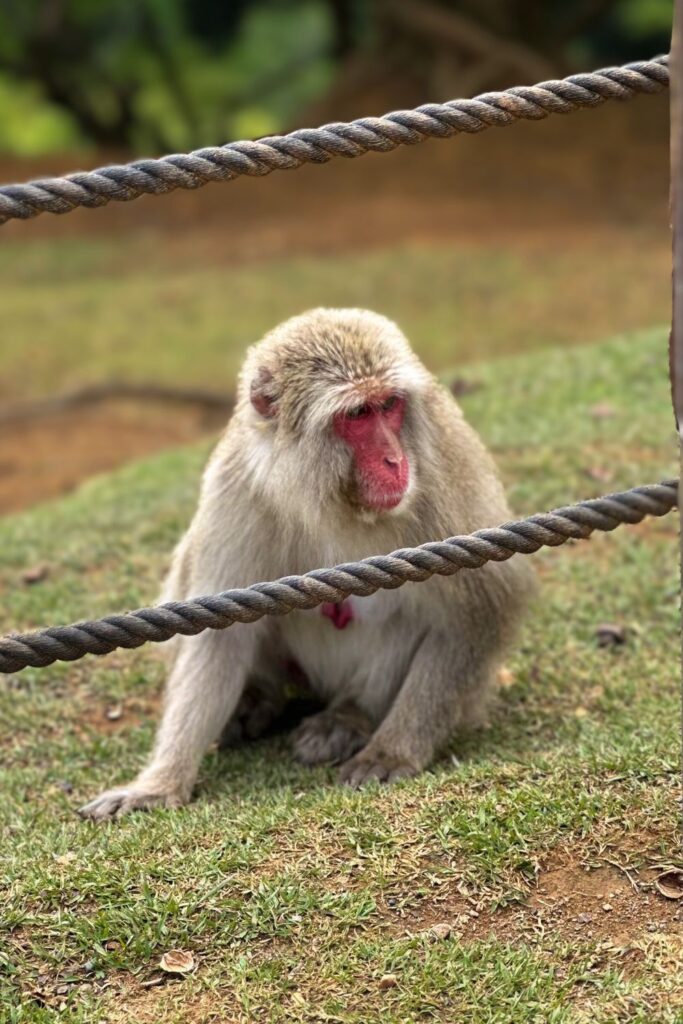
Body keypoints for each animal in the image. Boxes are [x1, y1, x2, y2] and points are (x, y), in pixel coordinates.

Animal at [80, 307, 536, 819]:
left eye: (389, 405)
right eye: (357, 414)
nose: (394, 460)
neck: (328, 496)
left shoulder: (440, 470)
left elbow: (481, 605)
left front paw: (395, 749)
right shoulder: (236, 485)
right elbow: (219, 630)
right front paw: (160, 783)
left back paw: (349, 717)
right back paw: (258, 700)